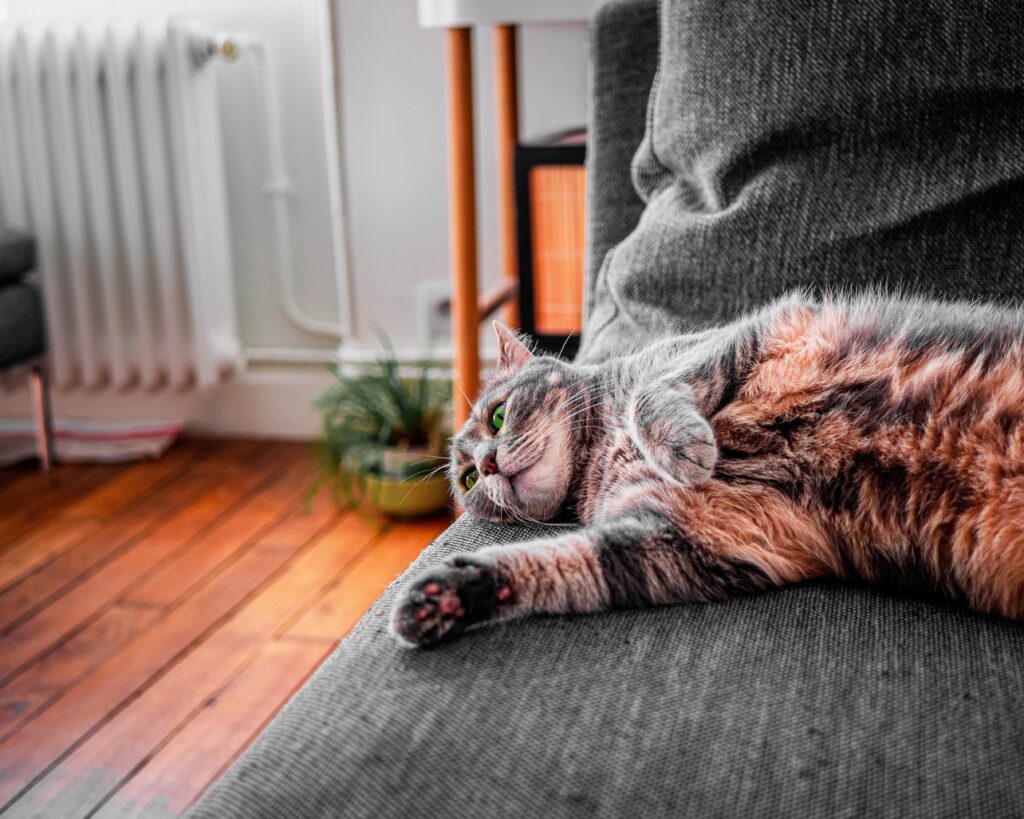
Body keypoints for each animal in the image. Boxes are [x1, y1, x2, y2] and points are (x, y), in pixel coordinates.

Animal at [387, 294, 1024, 647]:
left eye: (497, 416)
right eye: (468, 481)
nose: (488, 463)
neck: (599, 459)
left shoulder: (735, 336)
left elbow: (652, 396)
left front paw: (683, 446)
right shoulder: (683, 541)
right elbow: (552, 563)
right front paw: (446, 598)